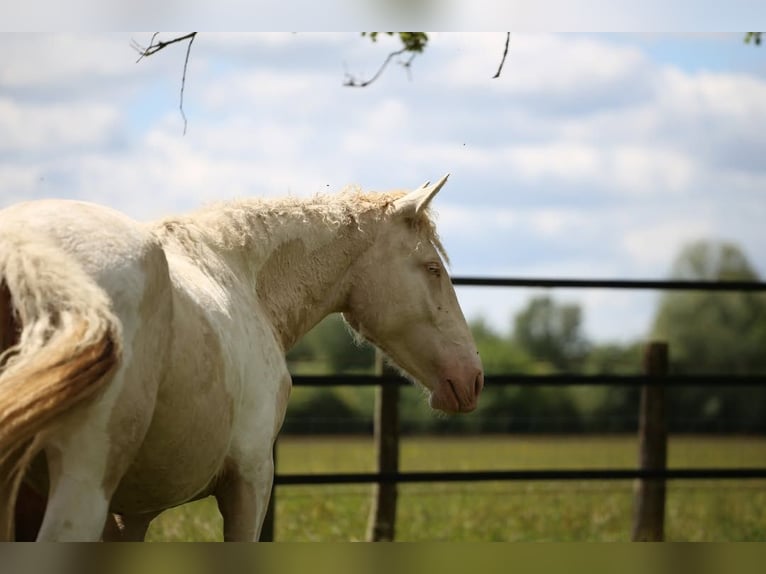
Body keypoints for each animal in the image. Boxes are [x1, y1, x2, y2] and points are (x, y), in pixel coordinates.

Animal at [0, 174, 484, 541]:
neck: (239, 274)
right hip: (81, 486)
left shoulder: (128, 516)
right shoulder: (251, 480)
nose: (473, 377)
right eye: (432, 269)